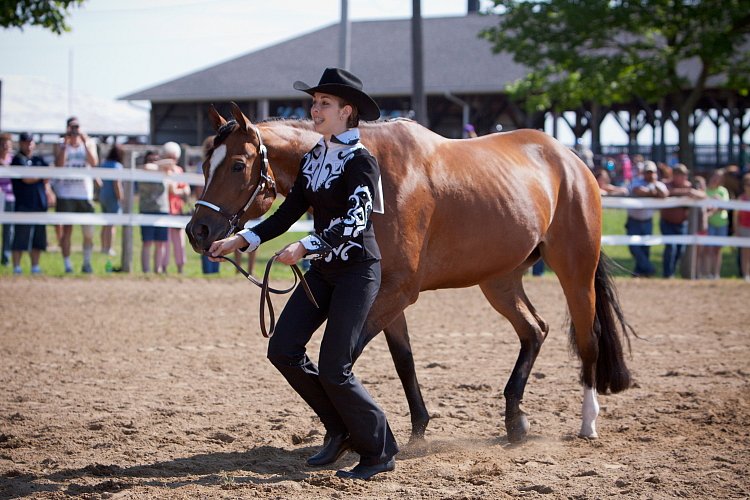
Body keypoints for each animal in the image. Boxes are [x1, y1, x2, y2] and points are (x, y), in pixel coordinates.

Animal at [188, 100, 636, 442]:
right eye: (205, 164)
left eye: (238, 164)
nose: (198, 231)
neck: (375, 175)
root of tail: (571, 159)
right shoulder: (387, 295)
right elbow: (404, 360)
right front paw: (418, 429)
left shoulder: (397, 292)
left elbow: (347, 355)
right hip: (499, 280)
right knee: (534, 330)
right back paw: (515, 422)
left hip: (575, 271)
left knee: (588, 338)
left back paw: (587, 423)